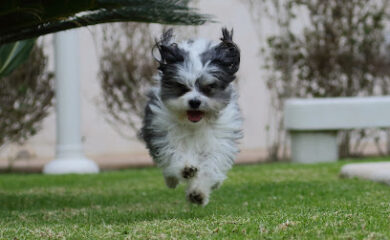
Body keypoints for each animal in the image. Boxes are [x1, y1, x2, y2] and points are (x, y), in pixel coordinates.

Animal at [140, 27, 242, 205]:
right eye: (182, 86)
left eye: (209, 87)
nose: (194, 102)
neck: (194, 125)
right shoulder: (164, 132)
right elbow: (174, 151)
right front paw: (186, 168)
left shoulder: (218, 141)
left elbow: (210, 165)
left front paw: (198, 193)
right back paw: (172, 179)